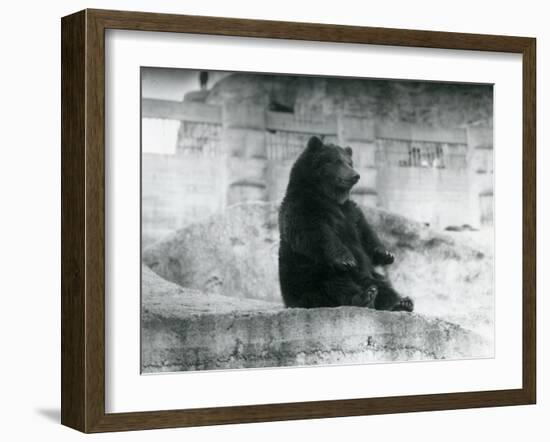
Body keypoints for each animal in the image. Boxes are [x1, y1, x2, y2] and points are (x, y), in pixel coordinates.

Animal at [280, 135, 414, 310]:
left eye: (350, 162)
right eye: (336, 161)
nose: (355, 175)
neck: (329, 195)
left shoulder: (351, 211)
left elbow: (365, 232)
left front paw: (386, 254)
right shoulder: (303, 205)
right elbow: (313, 231)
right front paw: (346, 259)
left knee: (382, 283)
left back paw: (400, 301)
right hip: (308, 275)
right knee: (334, 282)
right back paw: (364, 296)